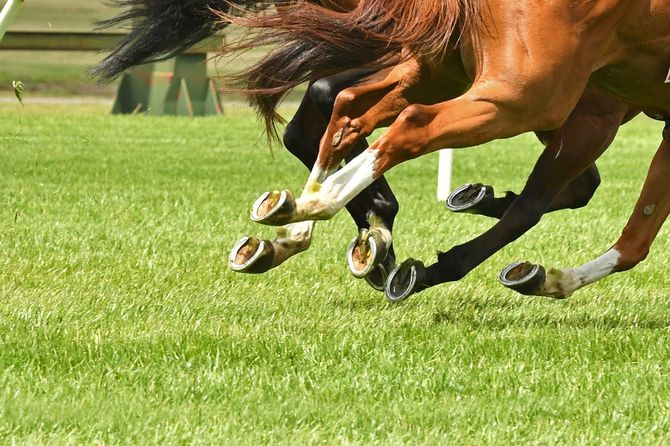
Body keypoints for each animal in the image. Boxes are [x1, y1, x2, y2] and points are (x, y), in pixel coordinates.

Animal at [220, 0, 670, 300]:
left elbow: (636, 236)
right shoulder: (593, 113)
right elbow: (542, 204)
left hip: (437, 71)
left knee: (346, 108)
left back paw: (300, 220)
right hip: (524, 96)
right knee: (408, 124)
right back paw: (322, 209)